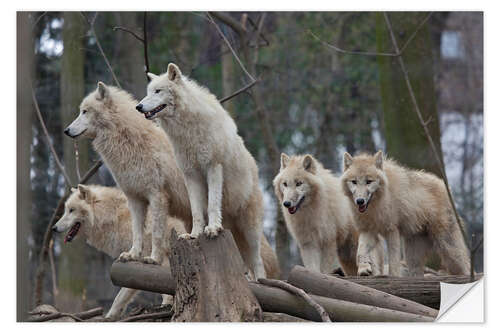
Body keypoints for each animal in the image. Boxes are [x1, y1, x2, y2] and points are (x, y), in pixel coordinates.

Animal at [64, 82, 191, 264]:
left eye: (85, 111)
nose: (66, 130)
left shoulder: (157, 196)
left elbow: (156, 232)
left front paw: (153, 258)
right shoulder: (134, 198)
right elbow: (136, 231)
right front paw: (132, 255)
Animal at [133, 62, 266, 278]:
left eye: (158, 91)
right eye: (148, 92)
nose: (138, 106)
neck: (186, 130)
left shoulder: (213, 167)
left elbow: (212, 204)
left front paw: (211, 229)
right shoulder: (191, 174)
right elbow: (197, 210)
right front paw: (194, 234)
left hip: (250, 229)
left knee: (258, 261)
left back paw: (261, 280)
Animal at [340, 150, 468, 274]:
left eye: (369, 181)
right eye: (354, 181)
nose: (360, 201)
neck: (376, 206)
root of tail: (445, 186)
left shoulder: (392, 231)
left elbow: (393, 263)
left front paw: (393, 277)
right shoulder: (368, 230)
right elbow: (360, 251)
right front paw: (364, 269)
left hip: (448, 248)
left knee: (465, 266)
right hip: (413, 258)